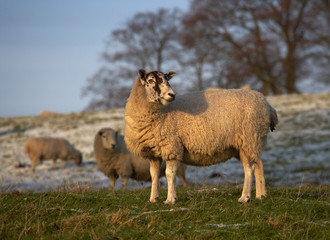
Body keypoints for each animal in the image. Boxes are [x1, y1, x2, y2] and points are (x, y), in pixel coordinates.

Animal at [124, 68, 278, 203]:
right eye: (150, 80)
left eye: (167, 79)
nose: (171, 95)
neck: (162, 112)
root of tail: (267, 104)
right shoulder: (153, 153)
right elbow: (154, 175)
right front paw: (153, 199)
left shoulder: (172, 147)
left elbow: (169, 174)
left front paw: (170, 199)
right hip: (249, 143)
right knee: (258, 164)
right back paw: (260, 195)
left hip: (249, 138)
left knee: (249, 170)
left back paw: (245, 197)